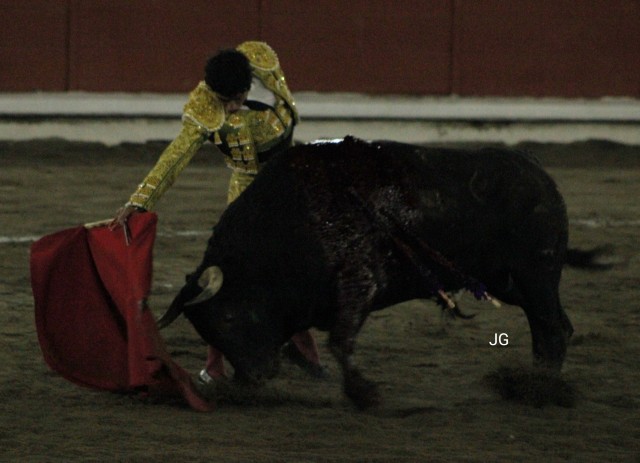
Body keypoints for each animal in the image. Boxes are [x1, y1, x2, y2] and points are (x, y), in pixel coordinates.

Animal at [159, 136, 595, 409]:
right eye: (208, 330)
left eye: (229, 318)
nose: (253, 378)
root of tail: (535, 169)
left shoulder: (360, 285)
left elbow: (340, 343)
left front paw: (363, 395)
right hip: (506, 281)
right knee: (555, 326)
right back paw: (536, 382)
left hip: (536, 274)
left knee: (550, 330)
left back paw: (542, 390)